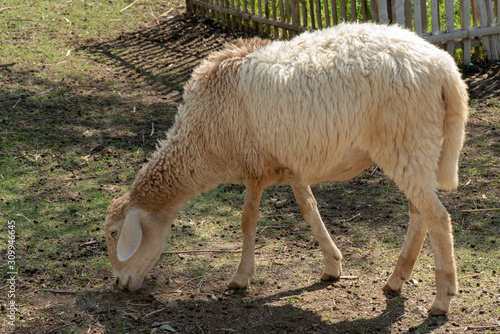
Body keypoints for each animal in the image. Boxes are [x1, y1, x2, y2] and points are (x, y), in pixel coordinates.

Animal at [105, 22, 468, 316]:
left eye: (113, 233)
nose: (119, 285)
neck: (202, 144)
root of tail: (444, 67)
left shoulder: (253, 165)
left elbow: (247, 220)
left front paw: (240, 278)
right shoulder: (291, 164)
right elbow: (309, 209)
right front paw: (332, 265)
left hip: (407, 141)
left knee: (438, 218)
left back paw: (442, 300)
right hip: (413, 147)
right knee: (420, 215)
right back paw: (396, 280)